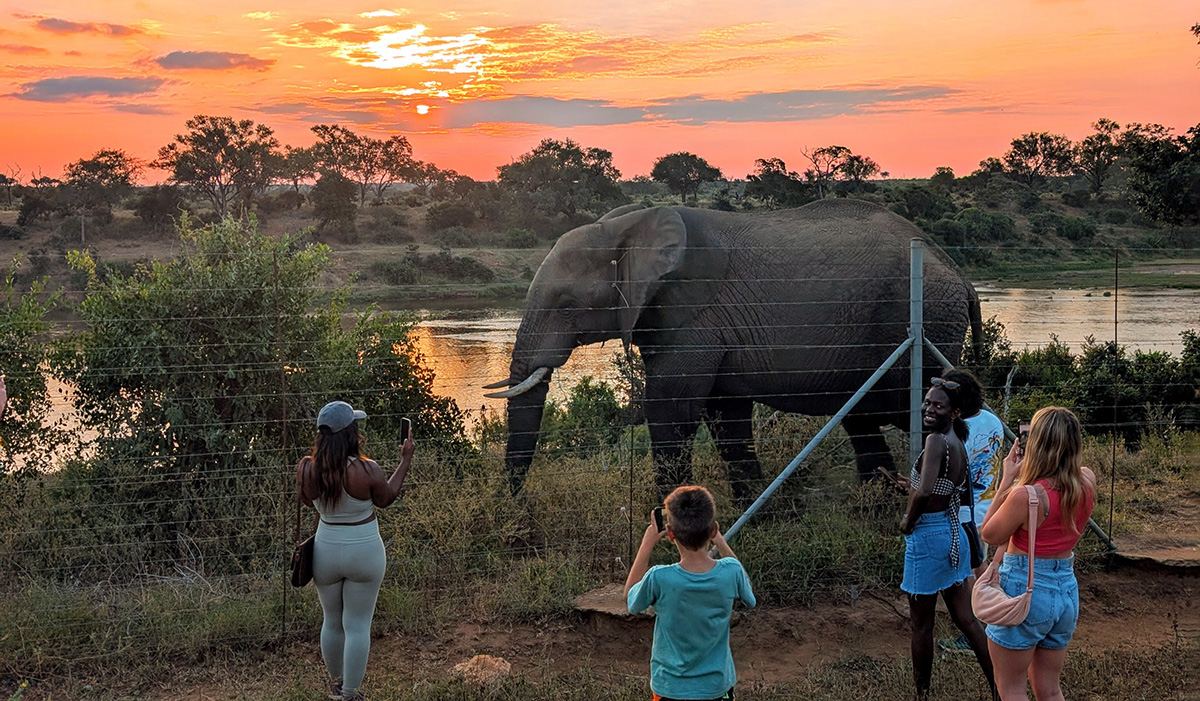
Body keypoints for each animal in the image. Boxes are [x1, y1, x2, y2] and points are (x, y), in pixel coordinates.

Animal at [484, 199, 982, 503]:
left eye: (567, 305)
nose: (518, 509)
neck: (627, 227)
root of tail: (958, 271)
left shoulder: (693, 316)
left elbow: (671, 411)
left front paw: (667, 524)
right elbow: (726, 417)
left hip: (922, 317)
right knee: (862, 420)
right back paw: (875, 507)